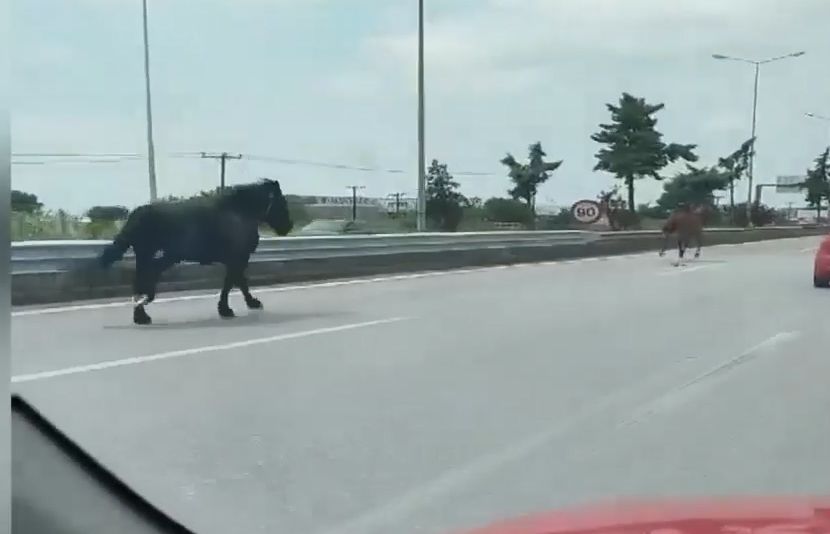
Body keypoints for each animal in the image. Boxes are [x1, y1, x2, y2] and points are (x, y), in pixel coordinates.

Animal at [98, 180, 294, 324]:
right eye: (281, 202)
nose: (288, 226)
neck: (239, 212)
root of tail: (135, 215)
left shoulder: (235, 259)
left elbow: (237, 282)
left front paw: (240, 305)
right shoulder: (237, 258)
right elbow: (234, 283)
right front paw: (231, 308)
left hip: (151, 256)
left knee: (142, 280)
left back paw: (141, 315)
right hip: (155, 255)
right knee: (144, 279)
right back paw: (142, 312)